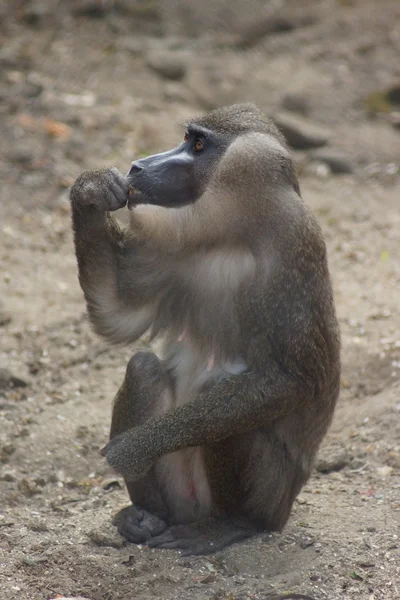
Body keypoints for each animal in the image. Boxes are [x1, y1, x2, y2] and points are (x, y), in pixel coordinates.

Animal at [69, 103, 340, 556]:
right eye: (186, 138)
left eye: (198, 145)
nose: (138, 166)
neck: (233, 232)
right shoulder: (169, 246)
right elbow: (117, 313)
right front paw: (92, 190)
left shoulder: (293, 249)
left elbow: (293, 381)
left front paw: (131, 450)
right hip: (180, 491)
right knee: (143, 367)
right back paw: (145, 518)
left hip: (271, 498)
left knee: (231, 404)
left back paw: (230, 525)